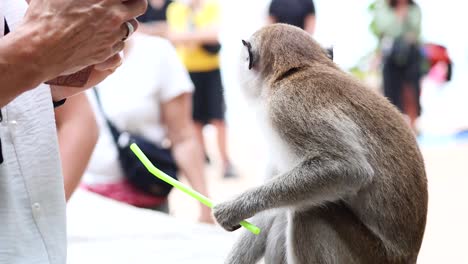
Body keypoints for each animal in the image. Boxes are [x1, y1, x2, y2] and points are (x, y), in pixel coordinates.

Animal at [212, 23, 428, 262]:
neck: (296, 70)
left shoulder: (284, 107)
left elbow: (348, 169)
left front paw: (233, 209)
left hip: (369, 255)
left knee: (309, 211)